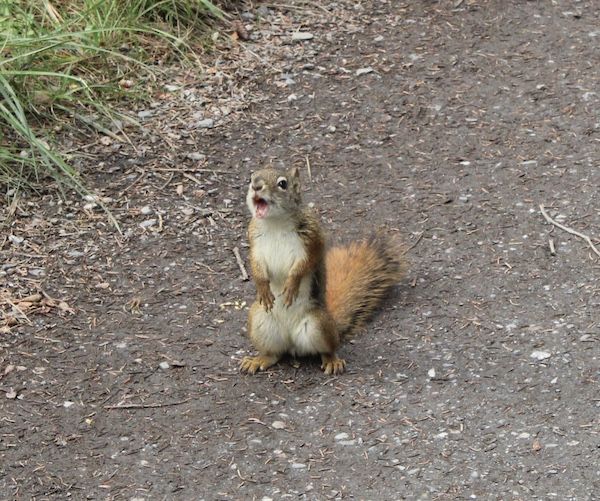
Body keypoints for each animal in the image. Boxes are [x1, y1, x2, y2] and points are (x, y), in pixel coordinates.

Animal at [240, 166, 408, 374]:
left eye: (282, 184)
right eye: (251, 178)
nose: (256, 187)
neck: (275, 223)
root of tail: (292, 343)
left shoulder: (313, 239)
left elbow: (304, 265)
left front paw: (292, 285)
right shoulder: (255, 242)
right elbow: (256, 267)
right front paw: (263, 288)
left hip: (319, 325)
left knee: (328, 349)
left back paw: (332, 361)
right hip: (259, 320)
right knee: (274, 354)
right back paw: (258, 360)